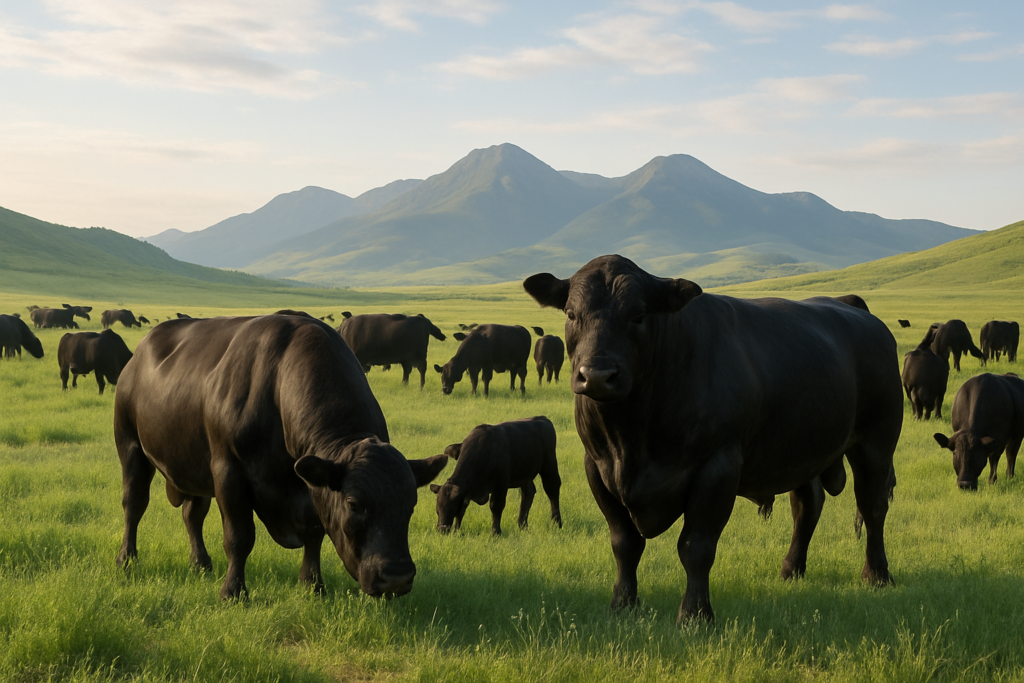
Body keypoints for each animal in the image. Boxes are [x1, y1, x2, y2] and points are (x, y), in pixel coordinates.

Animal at [113, 313, 448, 600]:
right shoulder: (228, 472)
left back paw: (200, 563)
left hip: (192, 467)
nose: (396, 578)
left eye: (411, 504)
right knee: (134, 503)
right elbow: (239, 537)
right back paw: (126, 558)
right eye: (354, 504)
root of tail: (139, 352)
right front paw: (233, 592)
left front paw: (312, 585)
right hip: (131, 446)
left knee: (192, 514)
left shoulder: (310, 486)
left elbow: (315, 534)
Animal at [429, 416, 561, 535]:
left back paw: (557, 523)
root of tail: (542, 418)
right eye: (438, 508)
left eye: (452, 507)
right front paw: (457, 531)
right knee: (528, 493)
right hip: (525, 474)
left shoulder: (500, 485)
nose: (442, 529)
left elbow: (496, 506)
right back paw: (522, 525)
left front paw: (495, 532)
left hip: (549, 463)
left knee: (552, 489)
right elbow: (462, 510)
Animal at [523, 255, 902, 625]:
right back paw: (791, 569)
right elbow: (624, 542)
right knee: (807, 505)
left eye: (638, 314)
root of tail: (852, 307)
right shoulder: (598, 468)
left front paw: (695, 615)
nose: (598, 376)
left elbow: (696, 547)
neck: (632, 436)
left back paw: (877, 575)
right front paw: (623, 605)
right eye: (572, 314)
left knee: (872, 506)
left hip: (876, 444)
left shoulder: (716, 468)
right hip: (801, 450)